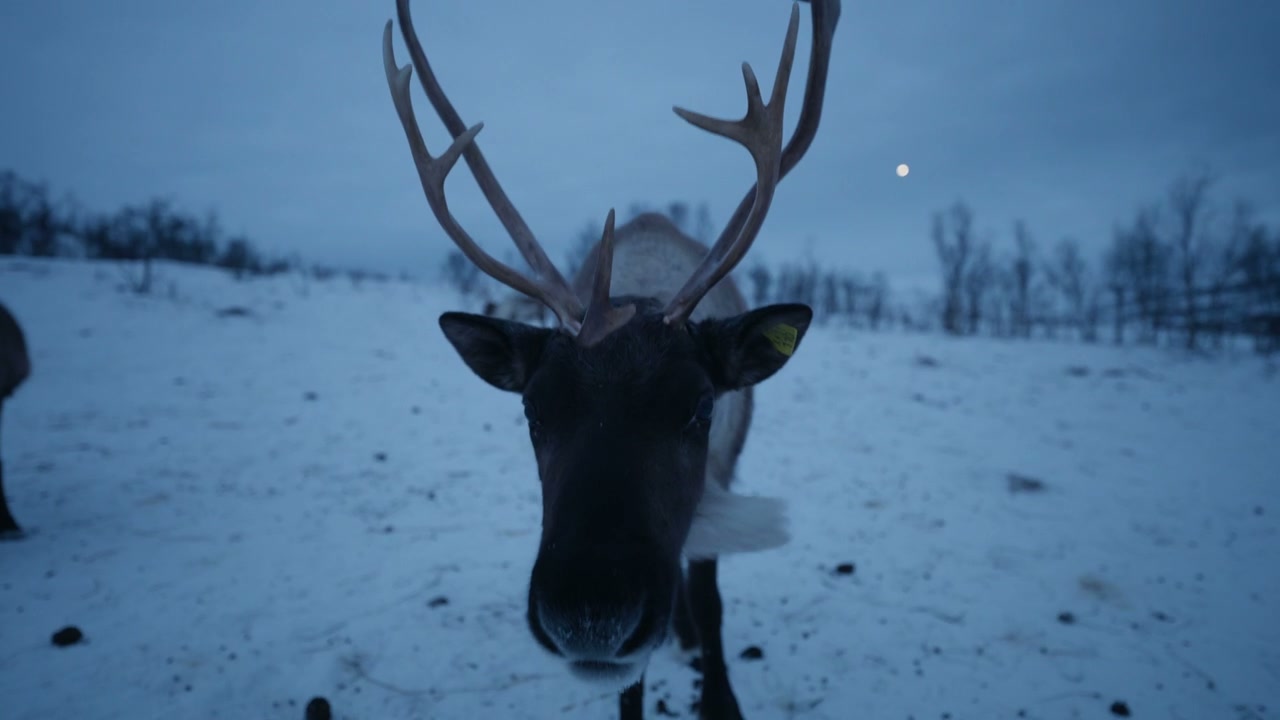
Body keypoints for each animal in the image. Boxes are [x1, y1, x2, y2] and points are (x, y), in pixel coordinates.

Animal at [379, 0, 838, 717]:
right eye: (532, 408)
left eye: (700, 406)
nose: (589, 616)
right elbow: (634, 680)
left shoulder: (722, 467)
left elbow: (711, 599)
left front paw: (719, 694)